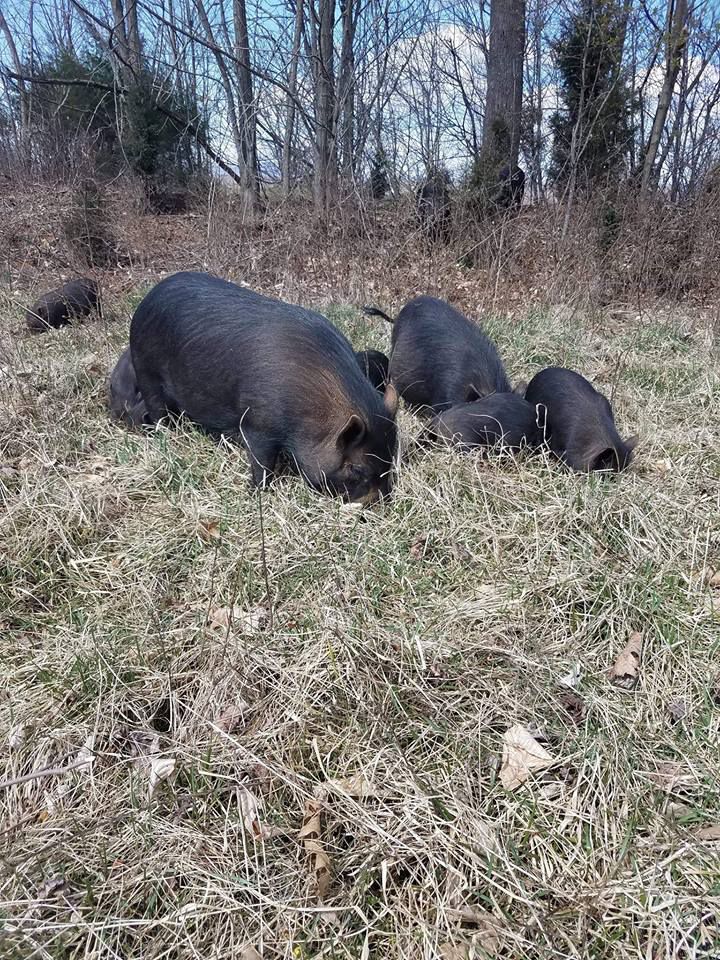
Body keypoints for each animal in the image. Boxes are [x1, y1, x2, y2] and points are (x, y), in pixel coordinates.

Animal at [130, 270, 400, 502]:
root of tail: (149, 297)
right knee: (157, 408)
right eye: (356, 468)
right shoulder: (257, 422)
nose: (376, 502)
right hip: (145, 369)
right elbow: (262, 463)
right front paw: (256, 493)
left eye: (390, 459)